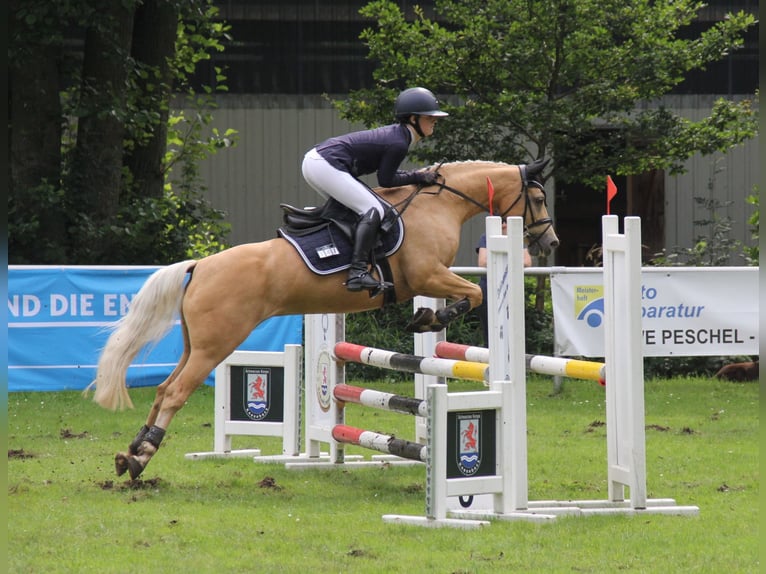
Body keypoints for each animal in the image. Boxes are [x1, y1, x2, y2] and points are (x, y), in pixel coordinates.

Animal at [88, 160, 560, 480]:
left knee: (163, 388)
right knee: (175, 392)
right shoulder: (428, 274)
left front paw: (427, 317)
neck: (438, 205)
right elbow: (475, 294)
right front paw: (431, 317)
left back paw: (131, 452)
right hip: (215, 345)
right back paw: (141, 458)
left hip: (196, 344)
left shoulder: (430, 277)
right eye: (537, 199)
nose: (551, 241)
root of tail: (200, 265)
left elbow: (468, 295)